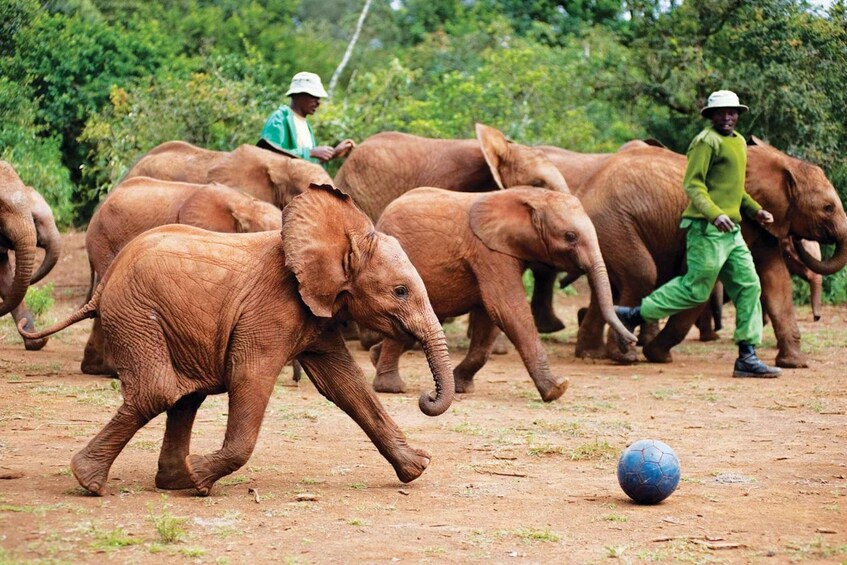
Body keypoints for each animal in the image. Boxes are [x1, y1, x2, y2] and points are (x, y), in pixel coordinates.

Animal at [21, 184, 458, 494]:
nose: (425, 398)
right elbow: (251, 378)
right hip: (135, 313)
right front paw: (202, 477)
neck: (341, 235)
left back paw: (172, 481)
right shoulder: (270, 310)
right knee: (160, 391)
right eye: (400, 291)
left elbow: (347, 387)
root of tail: (104, 283)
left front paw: (417, 468)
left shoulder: (316, 315)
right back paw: (92, 481)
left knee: (184, 396)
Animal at [372, 188, 636, 400]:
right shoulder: (489, 252)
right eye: (570, 237)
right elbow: (506, 309)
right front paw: (557, 389)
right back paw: (391, 388)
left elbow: (488, 319)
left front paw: (461, 387)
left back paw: (375, 357)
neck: (531, 196)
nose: (631, 341)